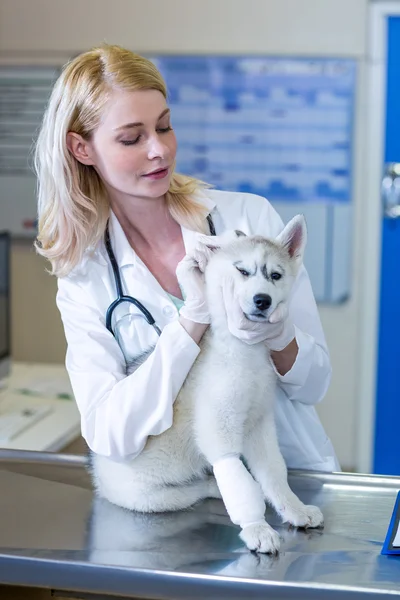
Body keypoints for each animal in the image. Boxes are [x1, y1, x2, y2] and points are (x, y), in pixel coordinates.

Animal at [90, 214, 322, 552]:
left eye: (275, 275)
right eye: (242, 271)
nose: (262, 300)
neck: (243, 350)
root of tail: (96, 466)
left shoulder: (259, 425)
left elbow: (275, 472)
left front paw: (294, 508)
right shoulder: (218, 429)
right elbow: (235, 476)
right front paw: (256, 527)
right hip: (153, 497)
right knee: (194, 490)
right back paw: (211, 486)